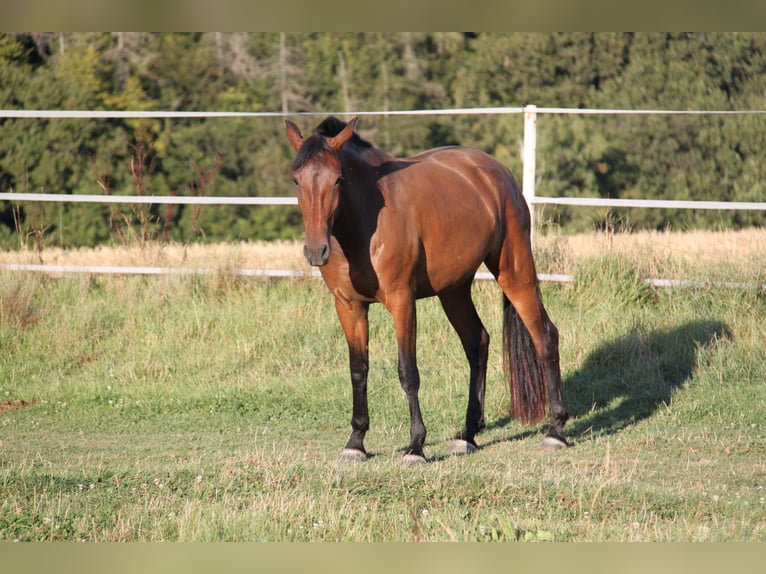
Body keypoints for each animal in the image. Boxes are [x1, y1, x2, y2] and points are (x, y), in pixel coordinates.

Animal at [284, 116, 568, 464]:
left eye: (338, 180)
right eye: (297, 180)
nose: (316, 250)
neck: (363, 226)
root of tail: (498, 172)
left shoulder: (402, 301)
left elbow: (408, 371)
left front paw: (416, 446)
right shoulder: (348, 306)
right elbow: (358, 370)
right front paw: (356, 442)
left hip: (514, 272)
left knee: (545, 336)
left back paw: (556, 431)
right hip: (454, 290)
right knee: (477, 343)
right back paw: (467, 434)